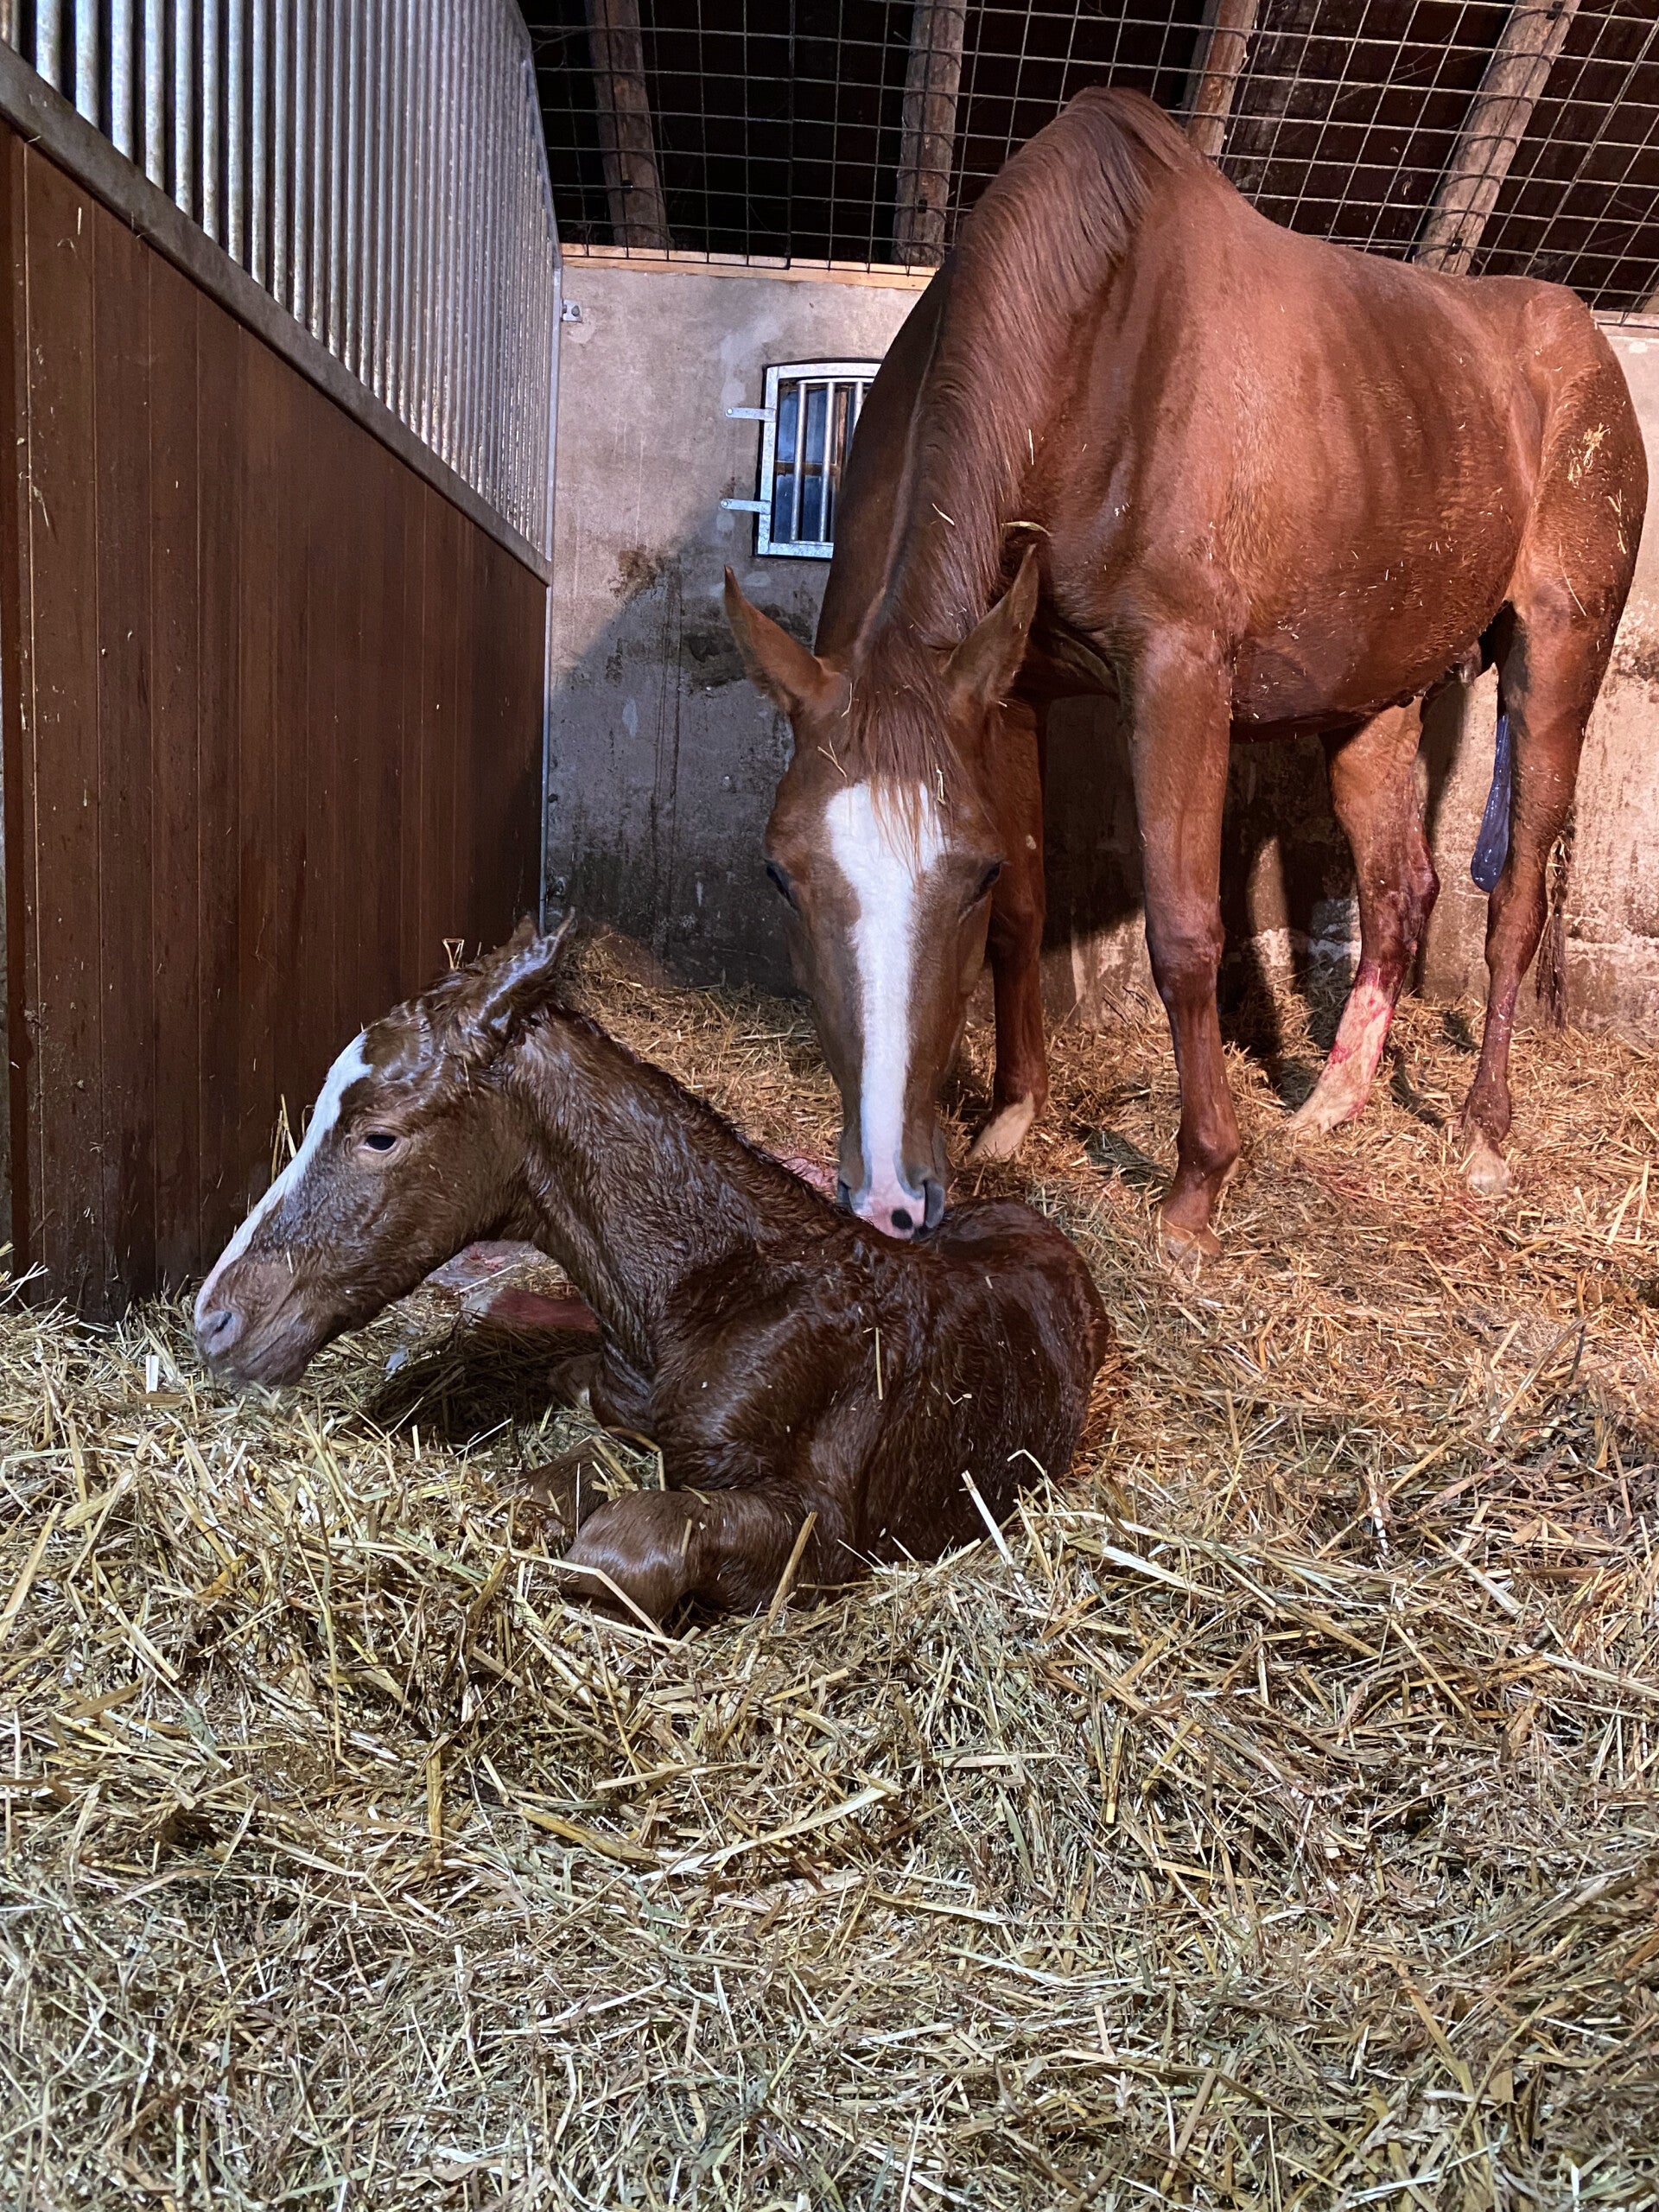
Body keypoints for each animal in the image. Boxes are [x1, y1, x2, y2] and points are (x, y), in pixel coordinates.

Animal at [192, 924, 1108, 1622]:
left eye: (379, 1134)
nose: (214, 1320)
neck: (709, 1295)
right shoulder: (619, 1410)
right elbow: (555, 1469)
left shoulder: (821, 1536)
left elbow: (614, 1549)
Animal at [724, 88, 1646, 1267]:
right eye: (779, 873)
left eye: (962, 876)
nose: (889, 1196)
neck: (1094, 345)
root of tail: (1584, 342)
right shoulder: (1010, 693)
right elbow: (1030, 912)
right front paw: (1012, 1116)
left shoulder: (1177, 680)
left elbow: (1185, 933)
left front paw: (1196, 1186)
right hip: (1374, 704)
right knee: (1401, 892)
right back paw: (1330, 1104)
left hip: (1559, 660)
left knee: (1515, 900)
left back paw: (1485, 1137)